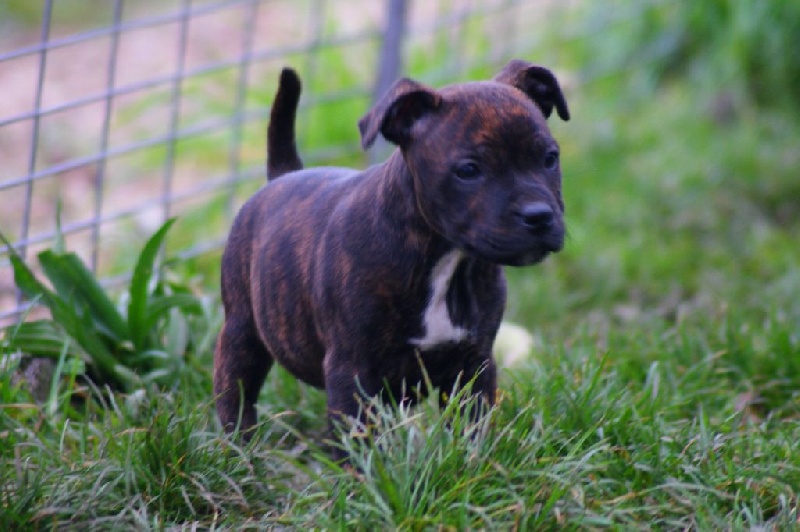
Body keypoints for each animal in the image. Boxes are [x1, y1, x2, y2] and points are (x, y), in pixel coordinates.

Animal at [214, 59, 570, 457]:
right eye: (468, 170)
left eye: (550, 159)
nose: (539, 215)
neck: (445, 259)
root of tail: (284, 175)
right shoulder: (352, 371)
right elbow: (357, 441)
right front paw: (362, 473)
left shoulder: (474, 364)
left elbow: (470, 428)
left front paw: (471, 463)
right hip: (242, 331)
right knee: (235, 393)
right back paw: (239, 452)